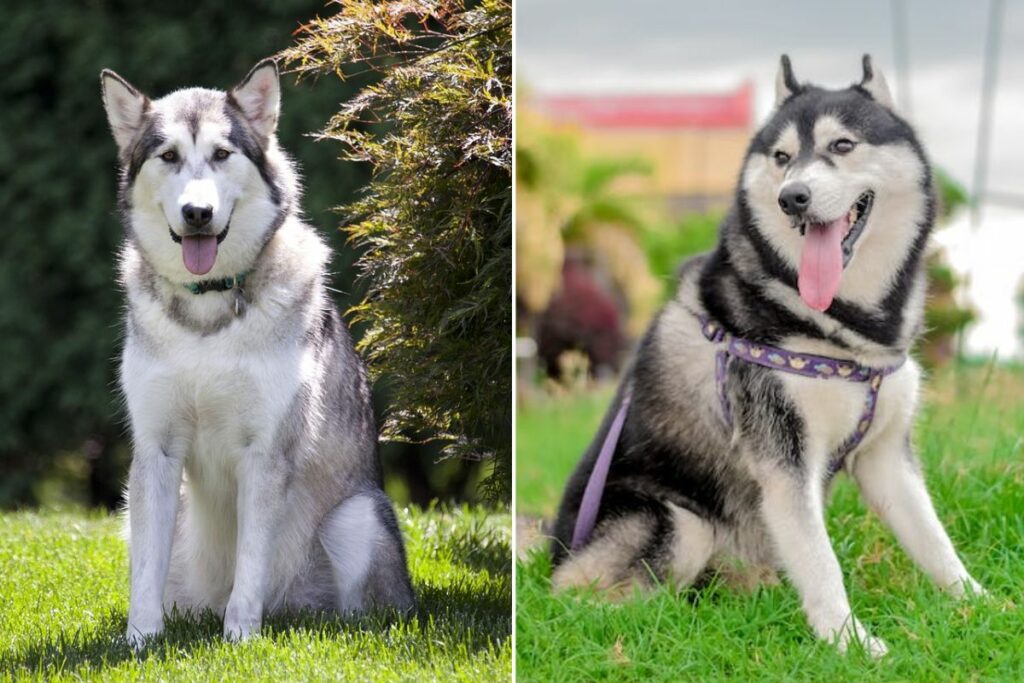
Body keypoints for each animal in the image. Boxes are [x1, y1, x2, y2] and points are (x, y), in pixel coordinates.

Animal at [98, 57, 411, 647]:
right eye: (168, 156)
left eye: (222, 154)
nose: (198, 213)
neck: (208, 311)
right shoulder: (156, 449)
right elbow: (144, 574)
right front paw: (141, 640)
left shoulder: (264, 451)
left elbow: (250, 564)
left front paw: (240, 637)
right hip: (140, 513)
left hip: (356, 518)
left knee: (358, 613)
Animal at [552, 54, 983, 655]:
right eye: (781, 157)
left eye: (842, 145)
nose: (792, 196)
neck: (843, 329)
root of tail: (553, 548)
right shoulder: (783, 457)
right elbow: (822, 562)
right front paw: (850, 643)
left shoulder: (885, 456)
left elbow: (933, 539)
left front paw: (982, 605)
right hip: (676, 522)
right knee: (579, 596)